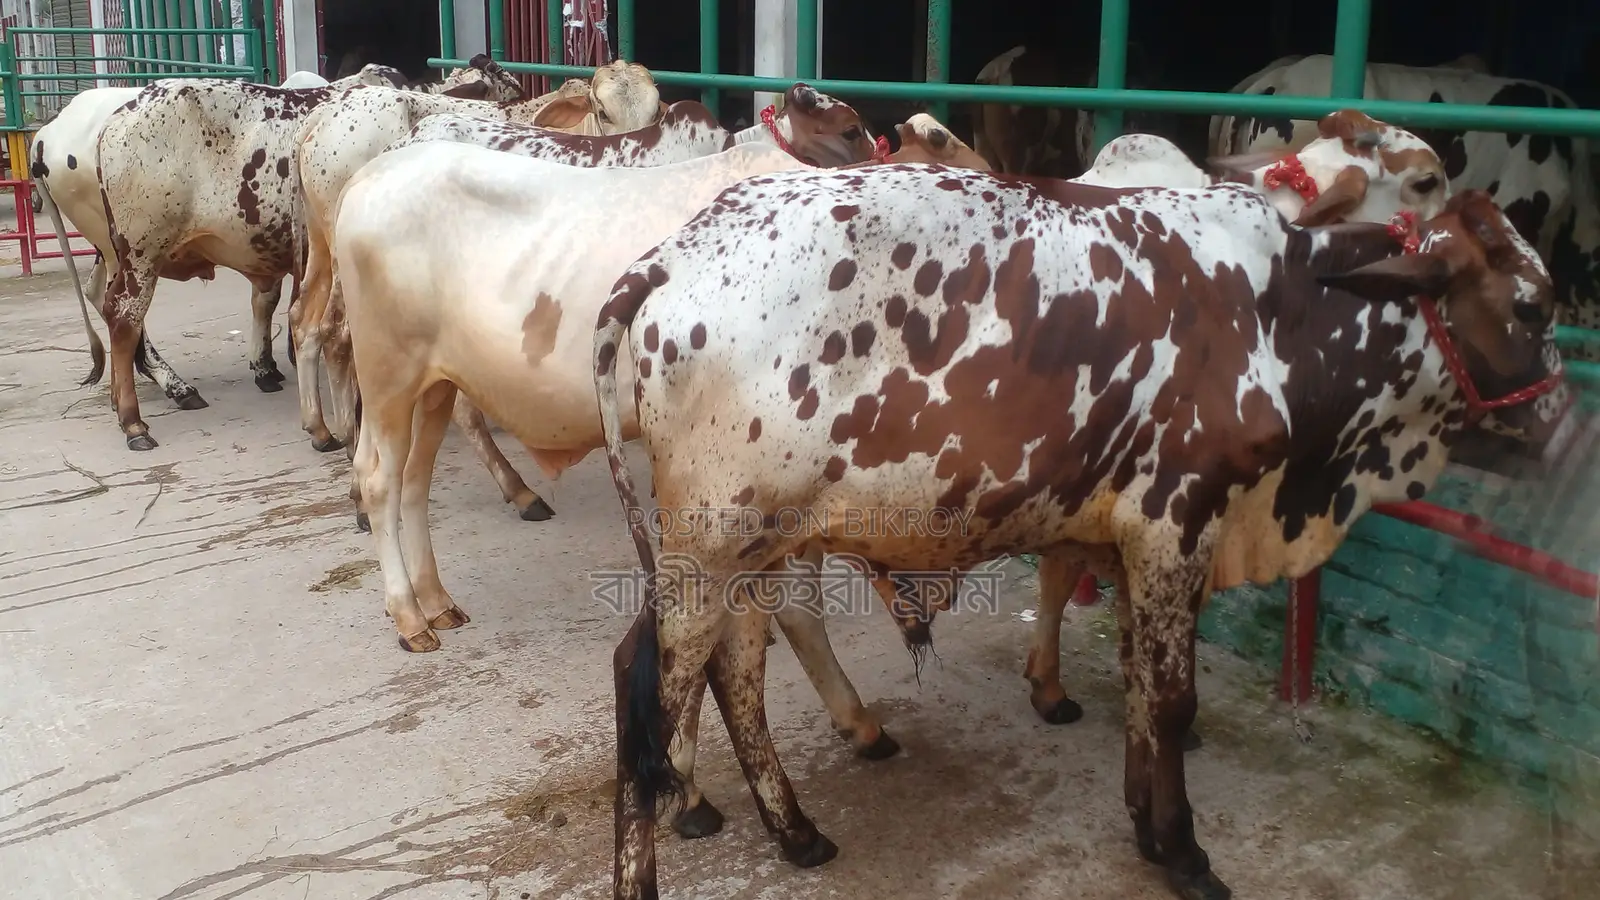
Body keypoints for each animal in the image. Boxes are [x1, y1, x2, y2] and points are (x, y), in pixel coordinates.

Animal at [26, 64, 410, 413]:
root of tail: (47, 134)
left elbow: (270, 299)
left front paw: (268, 366)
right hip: (131, 249)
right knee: (123, 311)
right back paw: (172, 386)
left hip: (113, 249)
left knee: (101, 296)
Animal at [286, 58, 668, 454]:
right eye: (604, 111)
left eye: (655, 110)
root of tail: (322, 115)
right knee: (335, 332)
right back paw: (350, 434)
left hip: (319, 242)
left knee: (303, 317)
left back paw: (320, 428)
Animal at [592, 166, 1569, 900]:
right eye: (1533, 309)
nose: (1563, 424)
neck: (1277, 311)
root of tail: (669, 257)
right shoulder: (1178, 522)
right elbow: (1173, 700)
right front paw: (1184, 851)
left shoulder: (1136, 542)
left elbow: (1140, 682)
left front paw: (1146, 822)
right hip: (707, 546)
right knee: (648, 683)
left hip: (760, 550)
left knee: (736, 671)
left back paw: (796, 831)